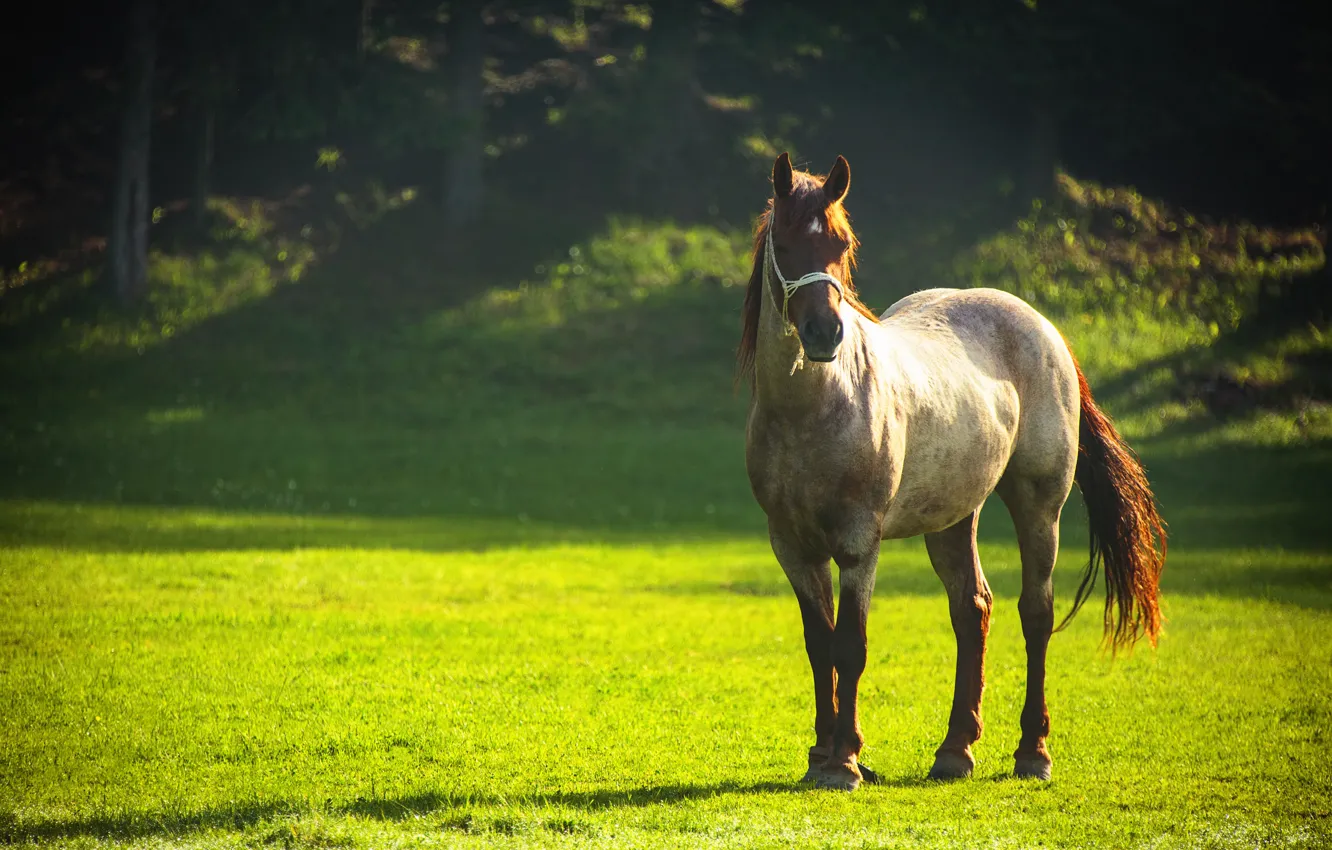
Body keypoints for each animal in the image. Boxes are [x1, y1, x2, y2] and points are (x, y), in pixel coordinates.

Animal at [739, 152, 1166, 791]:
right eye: (785, 244)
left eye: (841, 244)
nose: (825, 334)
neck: (812, 409)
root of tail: (1043, 327)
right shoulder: (791, 545)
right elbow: (819, 644)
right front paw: (823, 753)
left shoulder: (858, 544)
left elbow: (850, 646)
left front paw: (843, 763)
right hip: (951, 519)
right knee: (973, 609)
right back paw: (955, 750)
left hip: (1039, 504)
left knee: (1035, 613)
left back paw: (1032, 752)